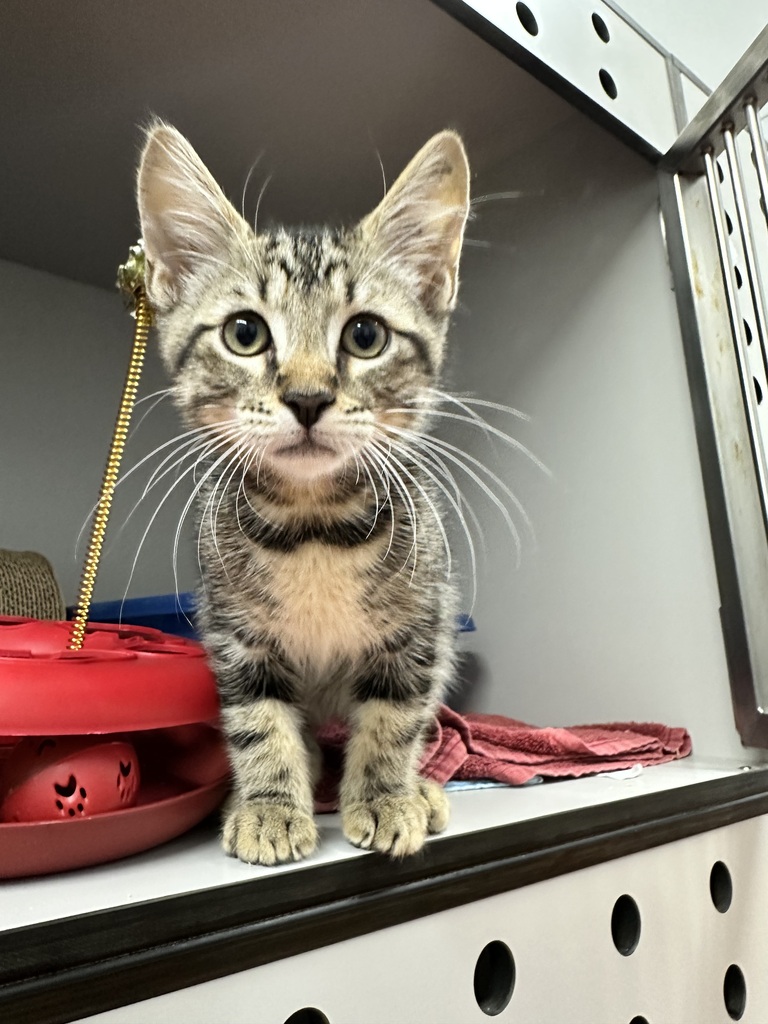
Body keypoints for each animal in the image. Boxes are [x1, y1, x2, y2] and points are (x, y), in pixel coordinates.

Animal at [136, 121, 470, 865]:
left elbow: (394, 719)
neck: (313, 524)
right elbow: (258, 720)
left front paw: (385, 796)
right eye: (245, 332)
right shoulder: (235, 634)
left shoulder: (418, 629)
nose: (309, 397)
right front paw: (268, 806)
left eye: (366, 335)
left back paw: (421, 790)